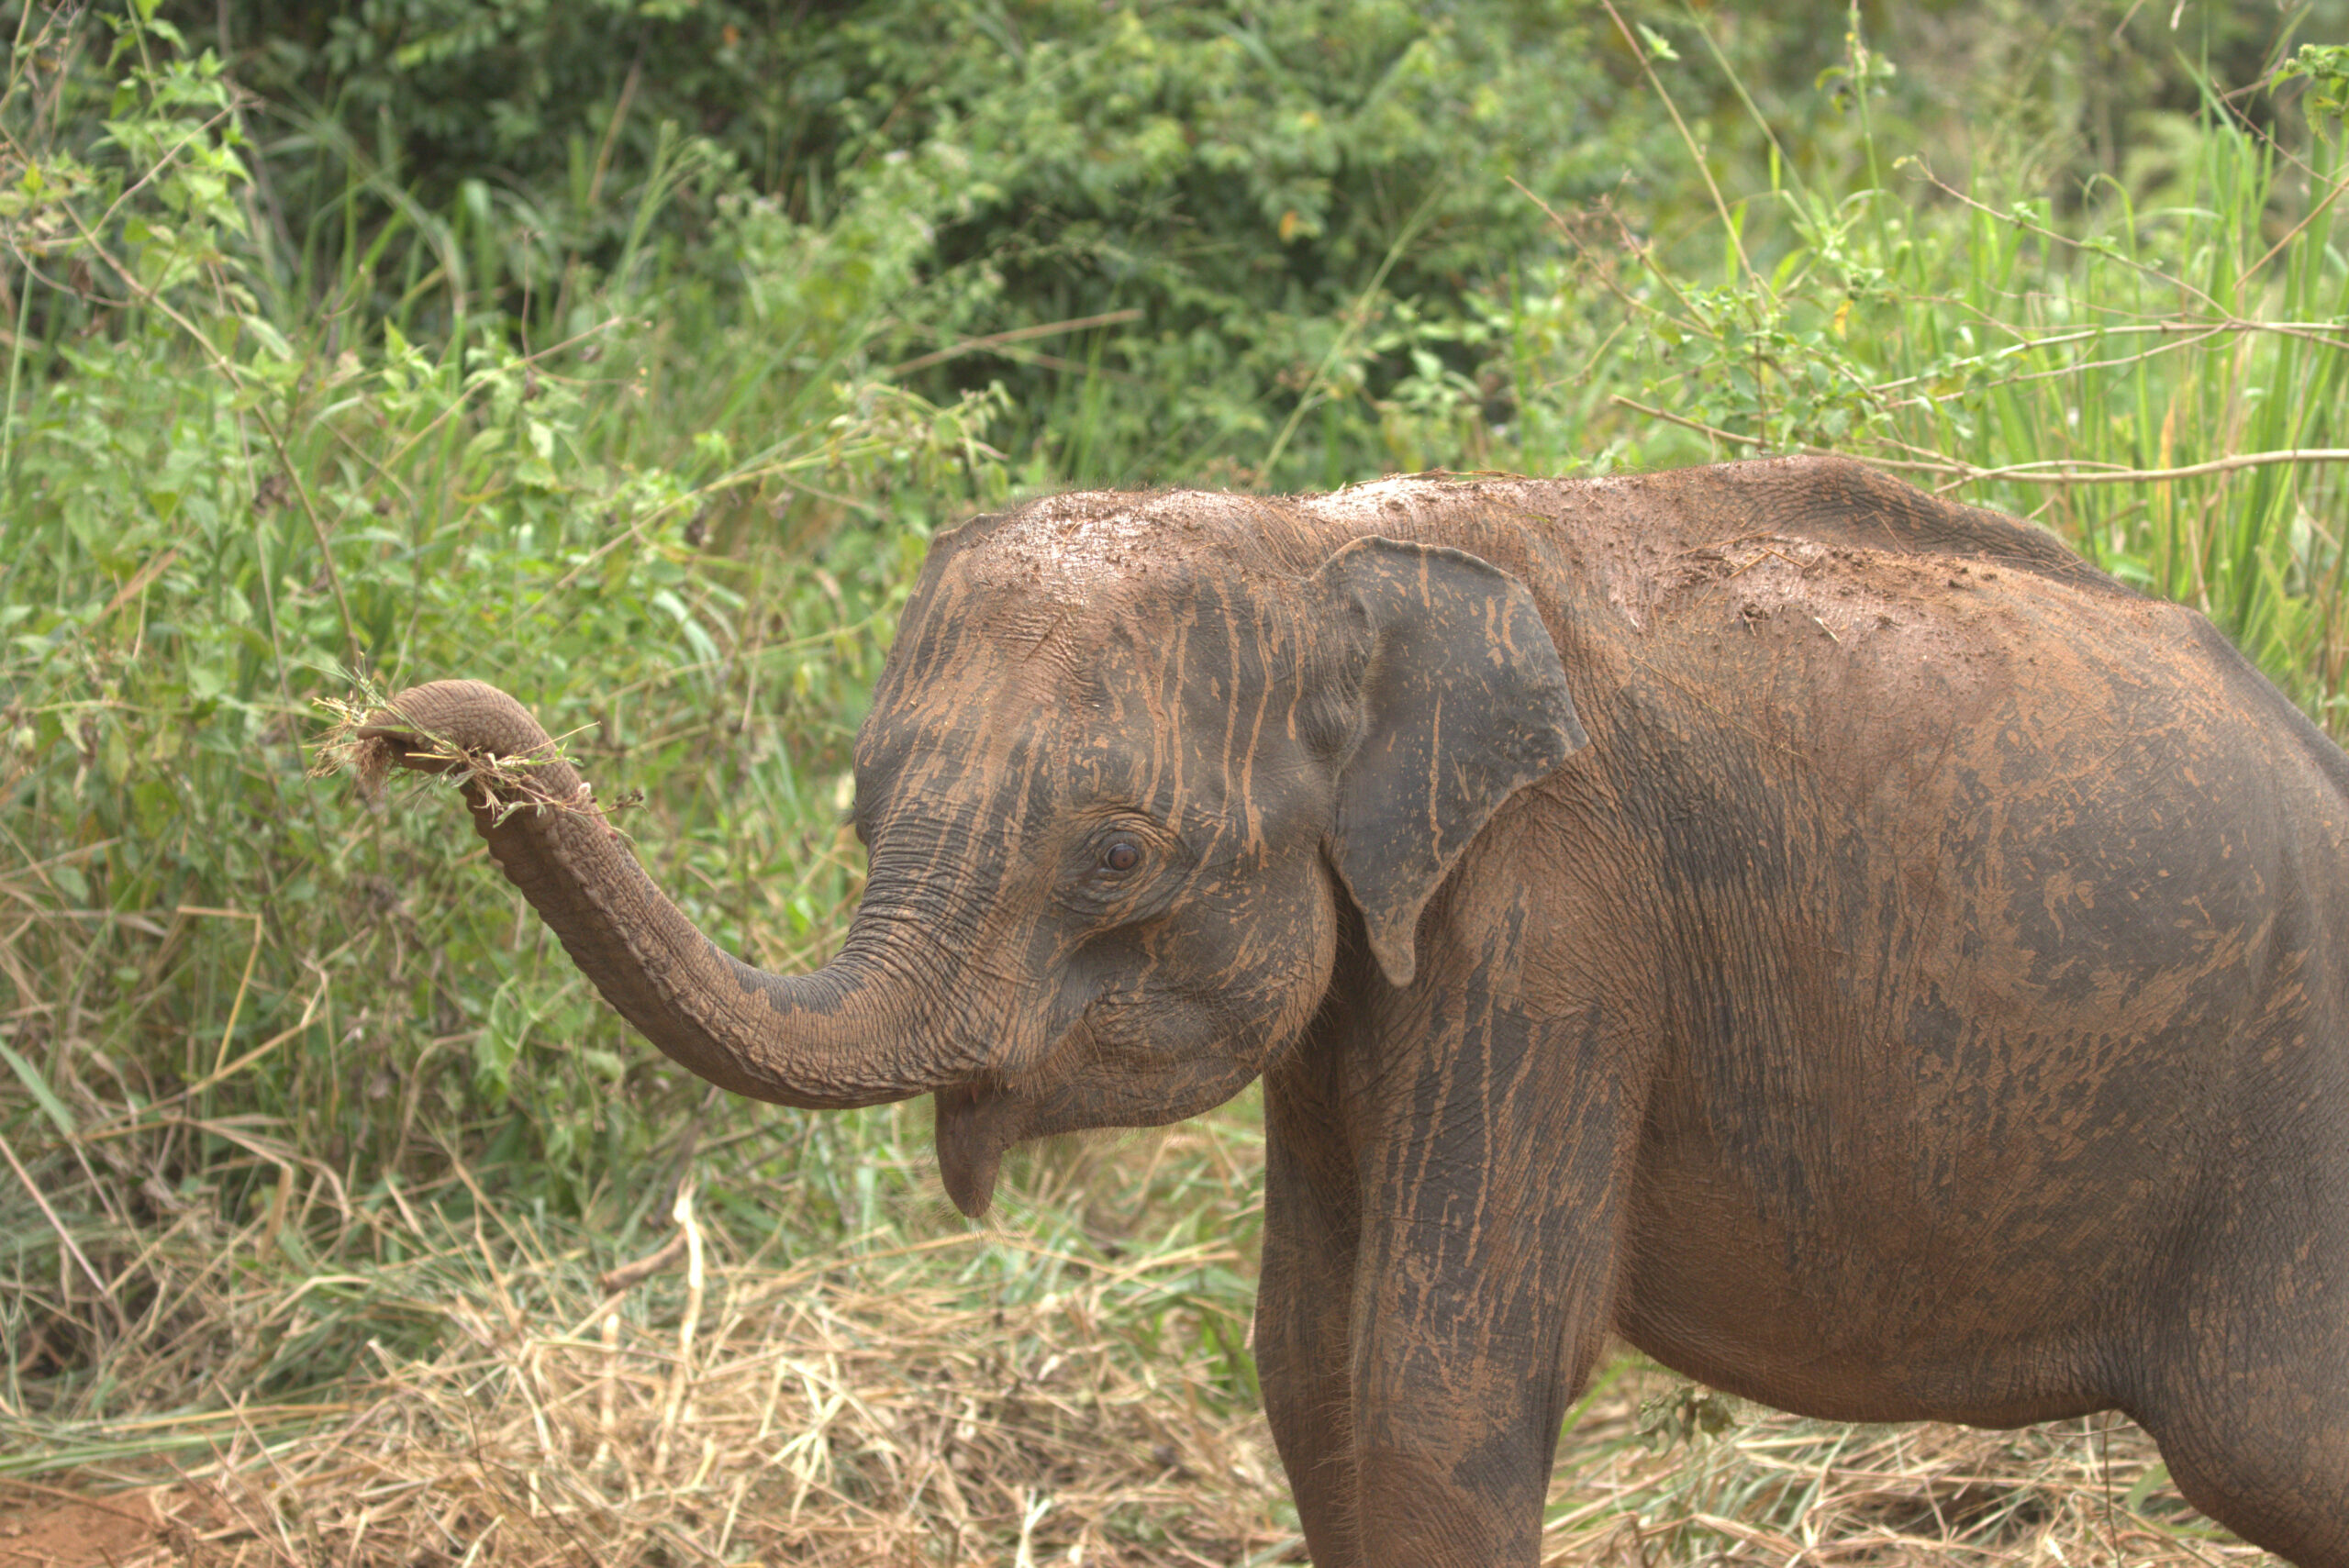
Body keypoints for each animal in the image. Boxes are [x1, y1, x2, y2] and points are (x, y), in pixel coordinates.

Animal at [356, 454, 2349, 1566]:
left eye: (1112, 853)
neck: (1328, 541)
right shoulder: (1376, 977)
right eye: (861, 811)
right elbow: (1307, 1360)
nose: (384, 729)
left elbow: (1435, 1371)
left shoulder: (1557, 919)